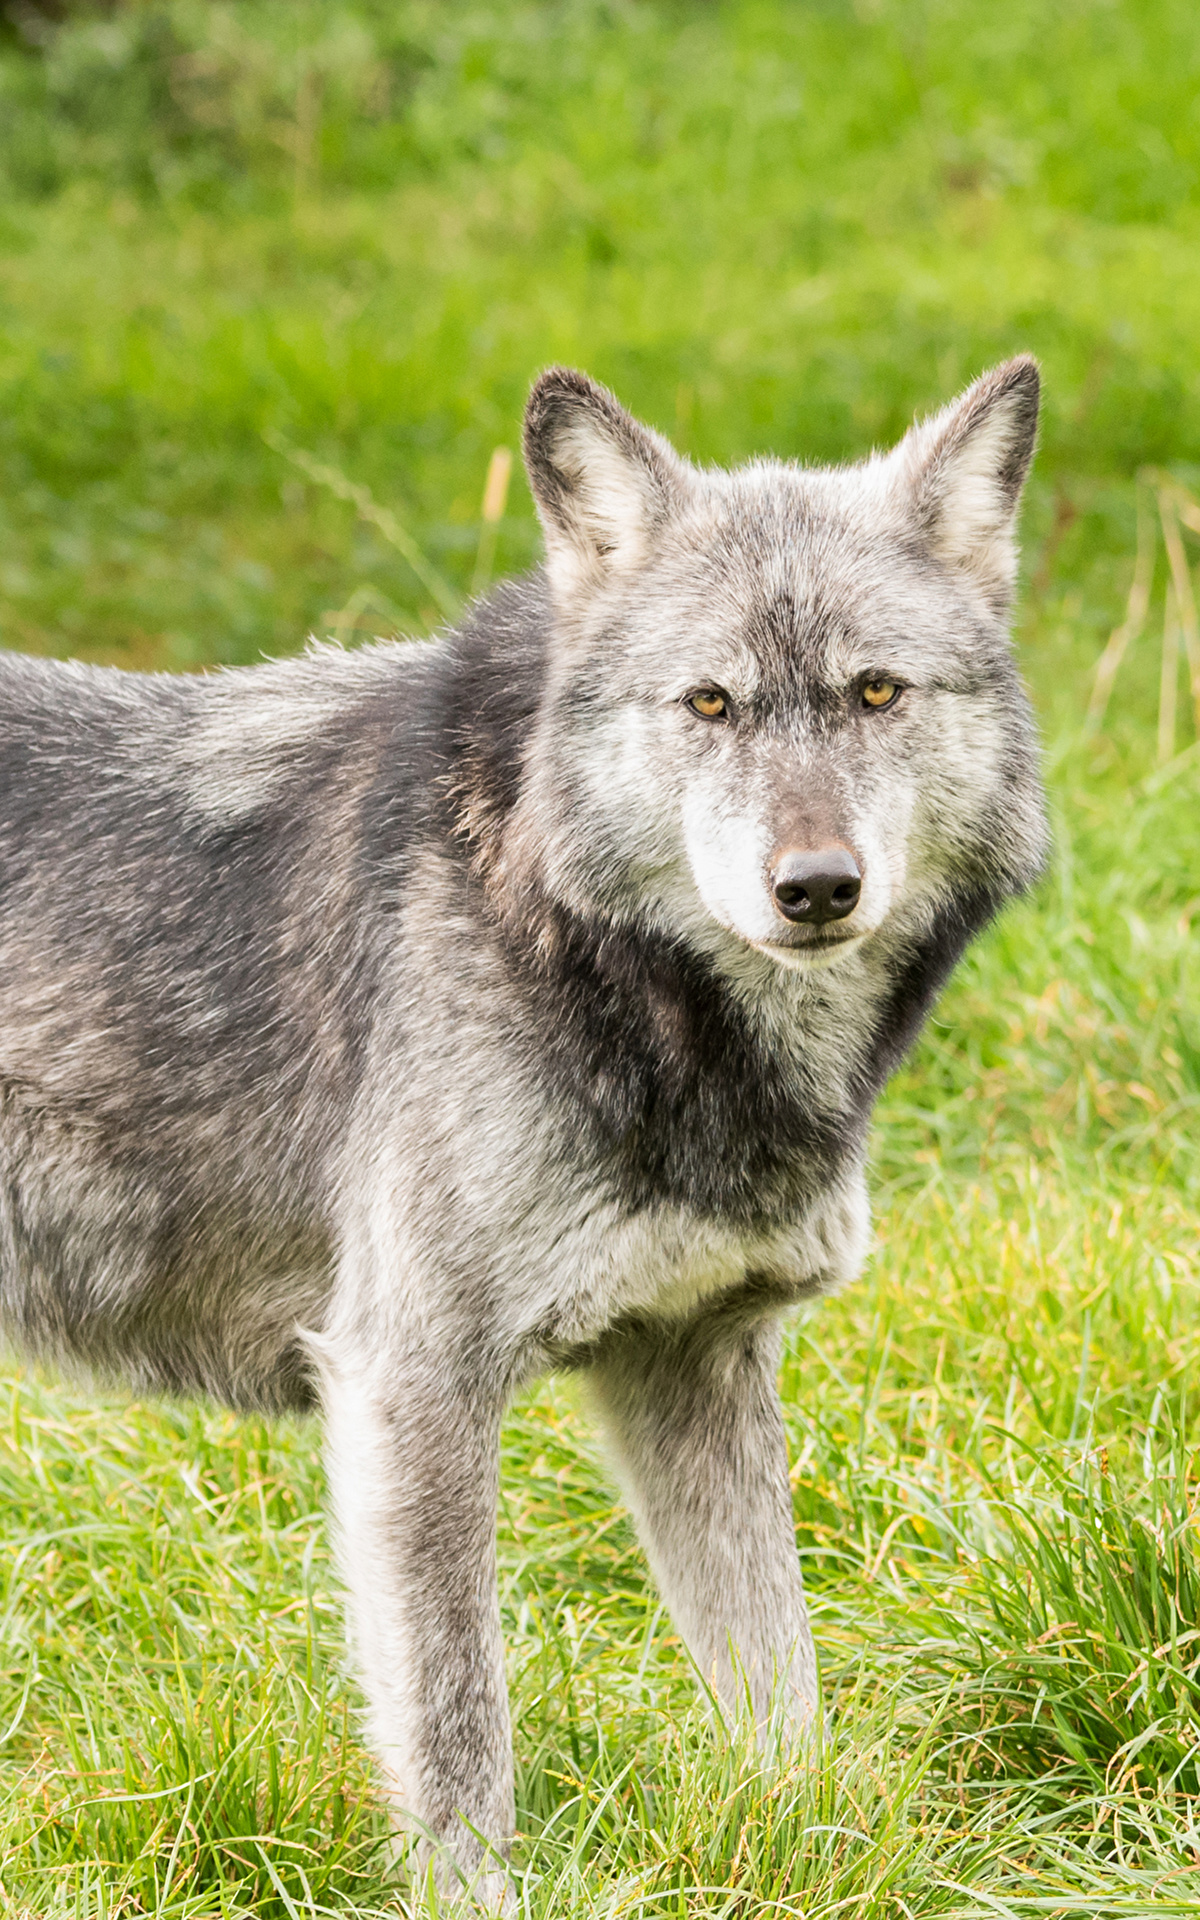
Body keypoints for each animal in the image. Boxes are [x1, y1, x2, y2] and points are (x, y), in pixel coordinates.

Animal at [0, 362, 1036, 1904]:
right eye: (710, 702)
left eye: (875, 692)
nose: (815, 887)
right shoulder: (411, 1381)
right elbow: (457, 1730)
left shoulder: (694, 1362)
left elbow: (778, 1690)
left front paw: (814, 1858)